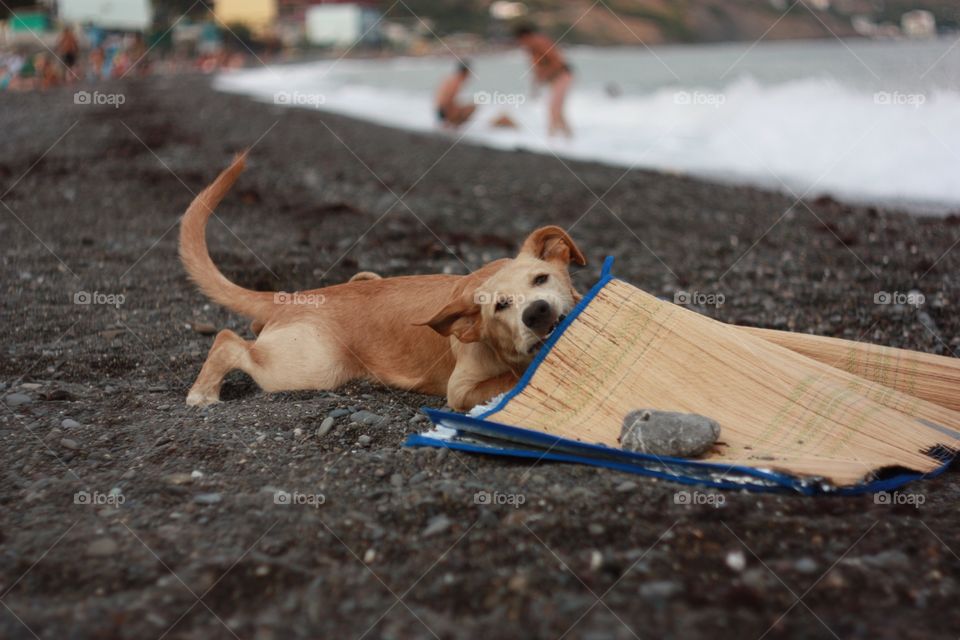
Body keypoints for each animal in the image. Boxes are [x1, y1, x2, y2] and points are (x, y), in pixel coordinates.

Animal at [179, 154, 584, 410]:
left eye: (541, 278)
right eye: (500, 305)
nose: (537, 313)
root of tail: (299, 296)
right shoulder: (461, 388)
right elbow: (510, 380)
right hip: (310, 366)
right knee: (227, 340)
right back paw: (203, 392)